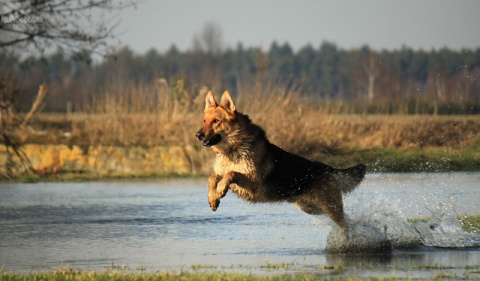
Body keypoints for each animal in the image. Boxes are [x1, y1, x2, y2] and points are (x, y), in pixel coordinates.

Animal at [197, 91, 366, 235]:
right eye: (204, 121)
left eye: (216, 121)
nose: (198, 135)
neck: (234, 148)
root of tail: (326, 168)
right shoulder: (224, 175)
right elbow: (213, 178)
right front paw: (213, 198)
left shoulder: (252, 182)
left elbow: (231, 174)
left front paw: (220, 191)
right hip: (311, 208)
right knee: (346, 220)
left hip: (330, 207)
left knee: (346, 223)